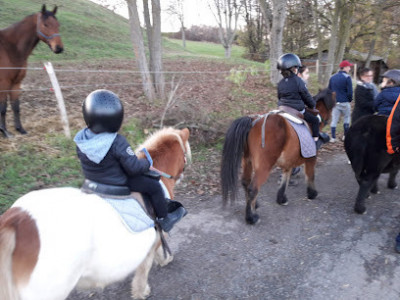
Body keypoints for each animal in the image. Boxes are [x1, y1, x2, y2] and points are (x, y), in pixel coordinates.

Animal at [0, 4, 63, 138]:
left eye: (58, 24)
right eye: (45, 24)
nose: (59, 48)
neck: (10, 48)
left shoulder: (16, 83)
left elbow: (16, 106)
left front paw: (20, 129)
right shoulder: (4, 83)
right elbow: (3, 107)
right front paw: (4, 131)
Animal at [220, 89, 336, 225]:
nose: (330, 120)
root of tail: (253, 121)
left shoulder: (288, 161)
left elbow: (286, 178)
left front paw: (281, 198)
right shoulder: (311, 157)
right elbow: (310, 175)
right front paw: (312, 193)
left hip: (247, 161)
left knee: (246, 182)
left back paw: (254, 204)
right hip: (264, 166)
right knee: (253, 188)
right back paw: (251, 217)